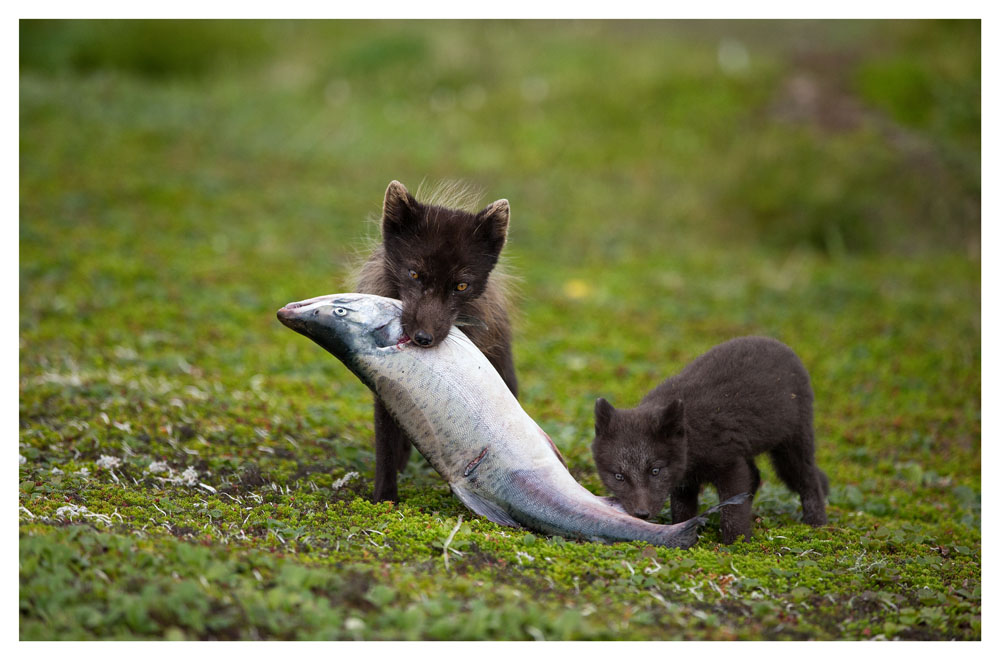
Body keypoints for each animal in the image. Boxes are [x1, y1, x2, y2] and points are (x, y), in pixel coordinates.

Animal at [356, 179, 520, 500]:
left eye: (461, 286)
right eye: (414, 274)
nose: (424, 338)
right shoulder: (384, 387)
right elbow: (386, 448)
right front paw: (385, 499)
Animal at [592, 336, 828, 540]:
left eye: (655, 471)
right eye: (619, 476)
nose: (642, 514)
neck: (692, 437)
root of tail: (778, 344)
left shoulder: (729, 464)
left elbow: (733, 511)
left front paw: (737, 543)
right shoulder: (685, 479)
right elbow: (682, 508)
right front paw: (682, 530)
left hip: (793, 442)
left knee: (808, 480)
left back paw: (817, 524)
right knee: (756, 475)